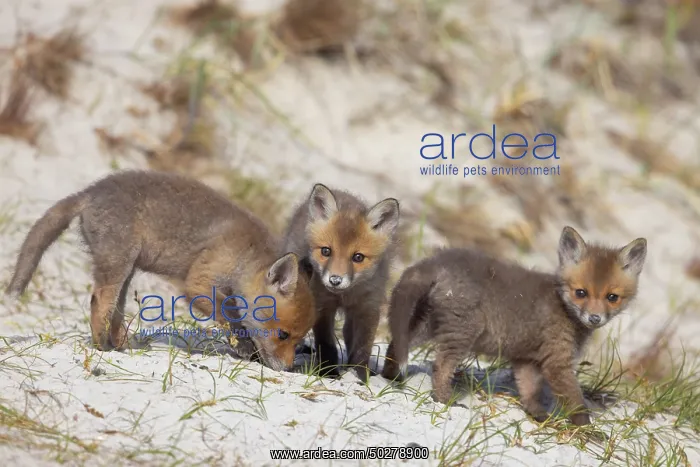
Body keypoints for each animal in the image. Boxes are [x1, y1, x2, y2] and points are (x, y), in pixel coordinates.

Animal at [4, 170, 317, 372]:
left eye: (300, 339)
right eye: (283, 335)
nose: (287, 369)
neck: (246, 254)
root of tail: (89, 193)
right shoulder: (198, 284)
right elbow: (231, 317)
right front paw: (243, 346)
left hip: (127, 270)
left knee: (115, 310)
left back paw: (121, 345)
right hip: (118, 264)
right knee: (98, 301)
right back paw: (102, 346)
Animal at [282, 183, 400, 380]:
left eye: (358, 257)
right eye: (326, 251)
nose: (335, 280)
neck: (345, 295)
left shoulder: (368, 308)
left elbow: (363, 347)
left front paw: (360, 376)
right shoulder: (322, 306)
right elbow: (326, 344)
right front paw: (329, 372)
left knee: (347, 332)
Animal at [381, 226, 647, 426]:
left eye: (612, 297)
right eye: (581, 293)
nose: (594, 318)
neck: (562, 307)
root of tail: (438, 260)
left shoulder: (526, 360)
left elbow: (530, 391)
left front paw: (538, 415)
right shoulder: (556, 363)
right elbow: (576, 403)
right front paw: (587, 431)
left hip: (429, 323)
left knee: (395, 344)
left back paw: (390, 378)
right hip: (463, 332)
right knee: (440, 365)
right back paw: (444, 399)